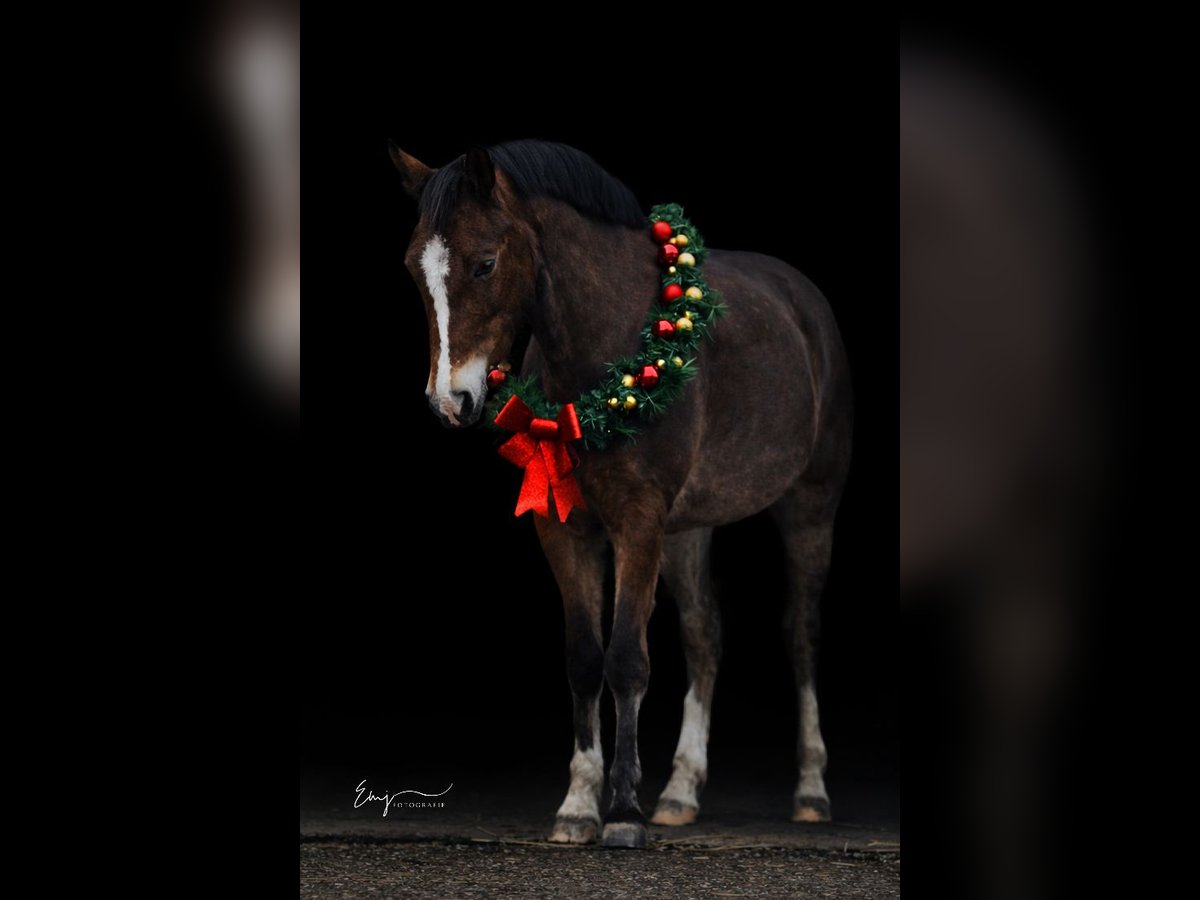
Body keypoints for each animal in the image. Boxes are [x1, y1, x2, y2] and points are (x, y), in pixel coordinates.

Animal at [389, 139, 852, 848]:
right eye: (416, 271)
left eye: (484, 263)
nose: (450, 402)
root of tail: (804, 301)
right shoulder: (566, 526)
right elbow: (584, 658)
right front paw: (579, 805)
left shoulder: (638, 520)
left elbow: (627, 659)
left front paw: (625, 812)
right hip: (689, 527)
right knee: (704, 633)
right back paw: (682, 791)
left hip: (810, 505)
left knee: (800, 632)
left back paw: (809, 789)